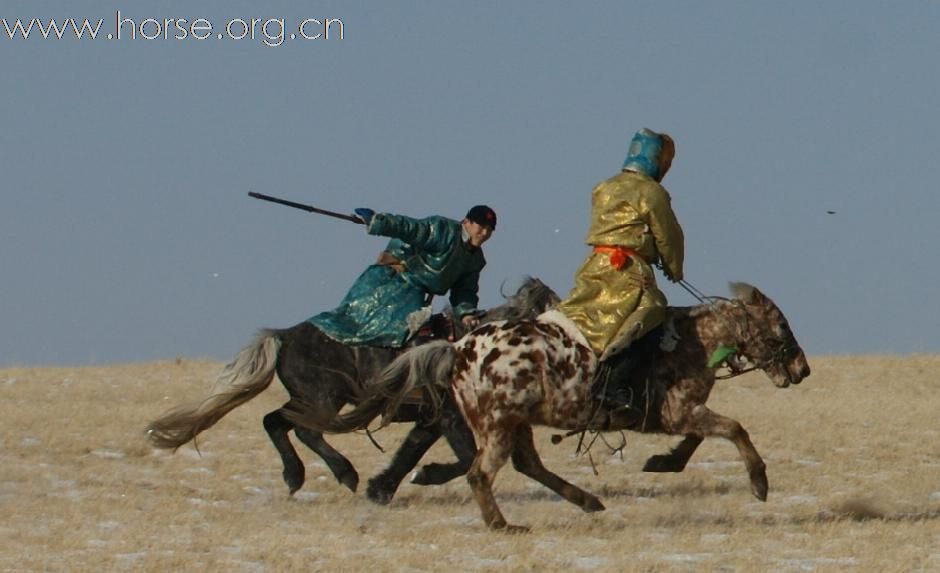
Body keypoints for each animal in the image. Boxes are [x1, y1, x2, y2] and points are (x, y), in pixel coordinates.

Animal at [147, 274, 560, 502]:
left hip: (314, 400)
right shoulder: (449, 417)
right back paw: (344, 473)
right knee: (303, 429)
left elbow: (411, 451)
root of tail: (283, 336)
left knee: (276, 422)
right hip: (323, 400)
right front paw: (424, 477)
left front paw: (382, 489)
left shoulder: (429, 420)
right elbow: (463, 457)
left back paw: (297, 476)